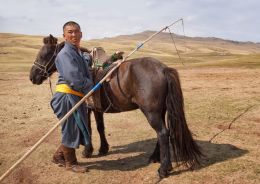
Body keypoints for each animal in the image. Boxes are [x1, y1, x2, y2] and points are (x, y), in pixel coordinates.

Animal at [29, 34, 203, 178]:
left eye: (43, 55)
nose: (32, 77)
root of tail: (163, 68)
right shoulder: (97, 109)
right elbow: (100, 128)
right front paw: (103, 148)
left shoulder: (86, 109)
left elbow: (88, 129)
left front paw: (87, 151)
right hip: (160, 111)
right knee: (162, 134)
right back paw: (154, 158)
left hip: (151, 113)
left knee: (162, 133)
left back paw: (163, 169)